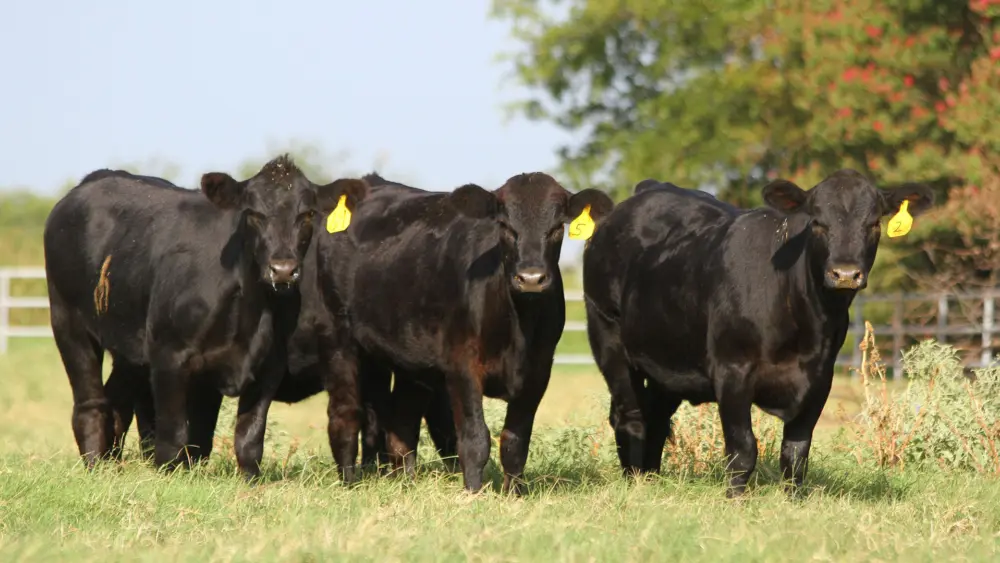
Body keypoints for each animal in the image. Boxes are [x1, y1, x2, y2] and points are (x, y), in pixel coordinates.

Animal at [43, 156, 368, 480]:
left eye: (308, 214)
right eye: (253, 213)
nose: (283, 269)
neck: (252, 312)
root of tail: (93, 181)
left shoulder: (268, 365)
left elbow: (243, 438)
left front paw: (250, 482)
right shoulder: (169, 355)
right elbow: (173, 438)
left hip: (130, 349)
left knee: (116, 402)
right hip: (68, 322)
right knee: (90, 404)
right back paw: (95, 467)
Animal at [582, 169, 934, 497]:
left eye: (874, 223)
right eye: (817, 222)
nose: (845, 273)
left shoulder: (820, 380)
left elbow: (796, 453)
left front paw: (794, 501)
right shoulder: (732, 372)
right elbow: (743, 450)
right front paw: (735, 501)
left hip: (666, 361)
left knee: (655, 419)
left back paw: (651, 480)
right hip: (608, 337)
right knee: (631, 416)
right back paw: (635, 482)